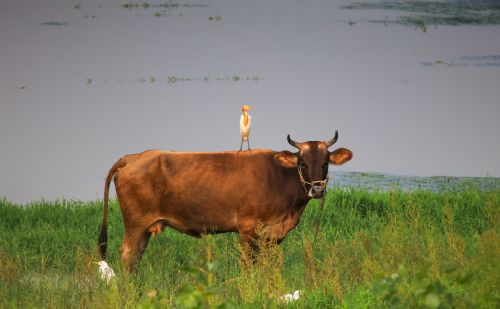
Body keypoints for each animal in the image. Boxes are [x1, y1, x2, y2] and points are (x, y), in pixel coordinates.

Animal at [98, 131, 352, 268]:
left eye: (326, 163)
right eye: (302, 163)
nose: (317, 190)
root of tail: (135, 156)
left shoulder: (271, 235)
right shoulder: (248, 230)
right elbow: (249, 265)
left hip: (144, 228)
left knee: (136, 256)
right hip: (136, 223)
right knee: (128, 254)